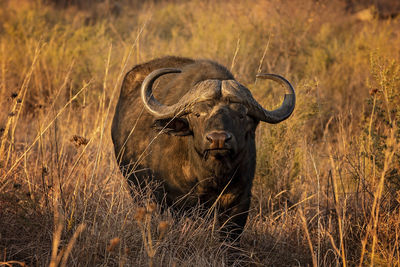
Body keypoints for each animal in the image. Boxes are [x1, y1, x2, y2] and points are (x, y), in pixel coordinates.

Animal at [111, 56, 296, 241]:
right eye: (197, 114)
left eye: (241, 115)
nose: (218, 139)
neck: (211, 175)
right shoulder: (177, 201)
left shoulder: (240, 200)